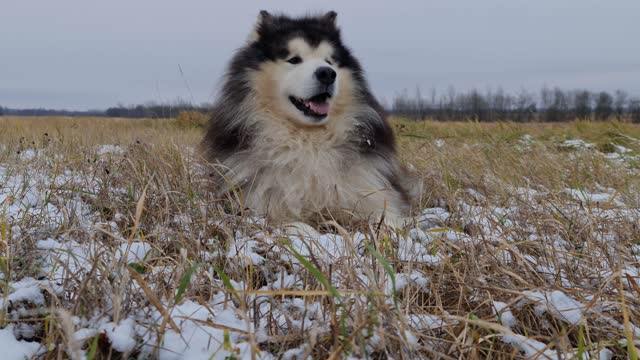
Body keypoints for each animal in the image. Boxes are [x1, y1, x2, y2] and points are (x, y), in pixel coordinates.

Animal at [202, 10, 418, 228]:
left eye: (330, 61)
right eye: (294, 59)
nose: (327, 74)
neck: (309, 141)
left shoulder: (372, 194)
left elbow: (388, 222)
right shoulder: (260, 203)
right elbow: (296, 225)